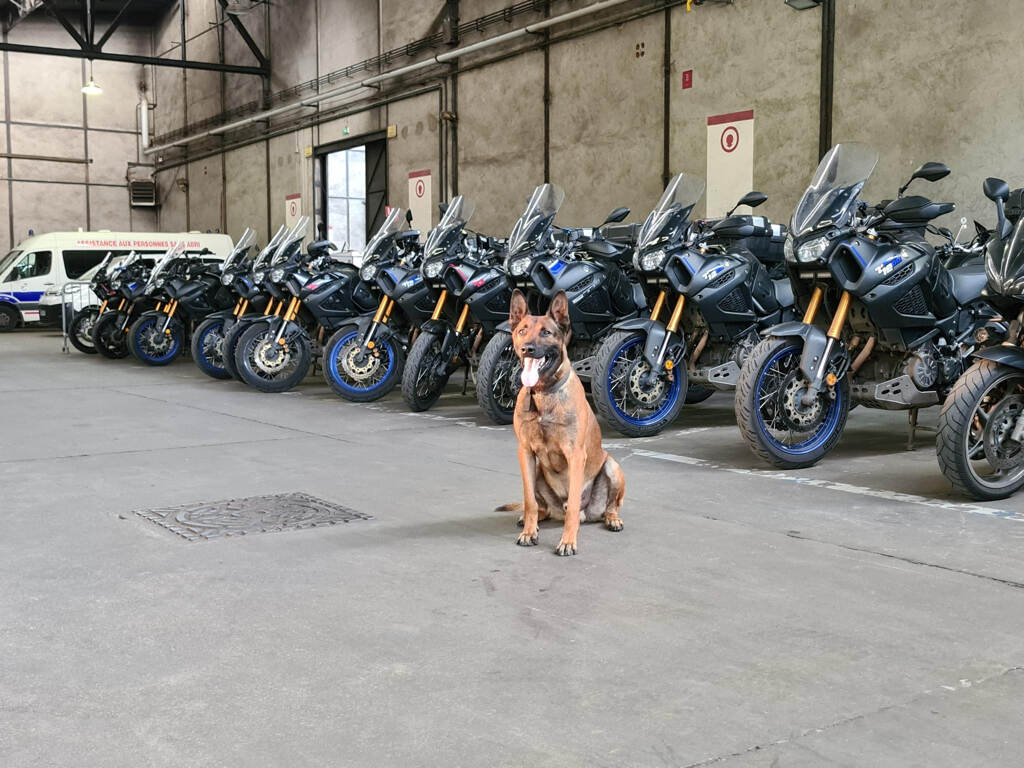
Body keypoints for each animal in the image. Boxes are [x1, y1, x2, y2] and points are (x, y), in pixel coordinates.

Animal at [499, 289, 625, 556]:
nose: (527, 349)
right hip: (537, 472)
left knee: (609, 506)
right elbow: (529, 501)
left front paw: (568, 541)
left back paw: (612, 519)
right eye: (522, 330)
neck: (543, 393)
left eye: (546, 332)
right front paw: (529, 532)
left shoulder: (575, 455)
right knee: (542, 507)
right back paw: (532, 520)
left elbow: (574, 504)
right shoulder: (525, 452)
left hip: (612, 466)